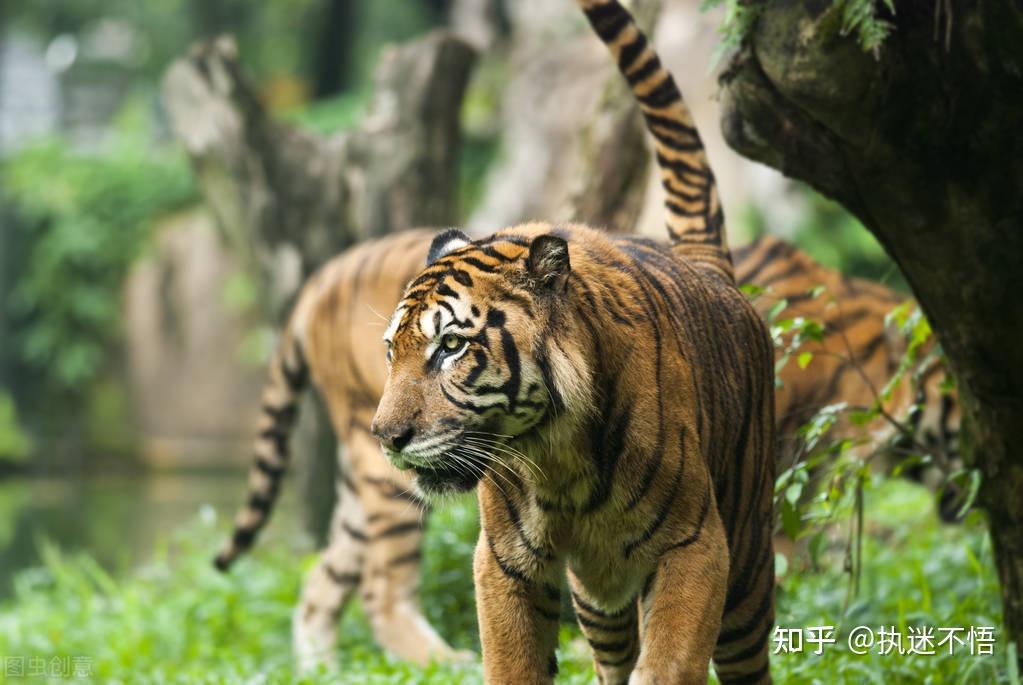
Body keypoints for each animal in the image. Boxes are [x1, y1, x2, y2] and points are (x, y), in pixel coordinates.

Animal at [217, 1, 778, 682]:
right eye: (392, 352)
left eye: (450, 348)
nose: (388, 436)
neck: (559, 455)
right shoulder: (507, 559)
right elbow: (512, 658)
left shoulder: (695, 545)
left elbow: (668, 662)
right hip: (574, 579)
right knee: (356, 582)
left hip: (742, 561)